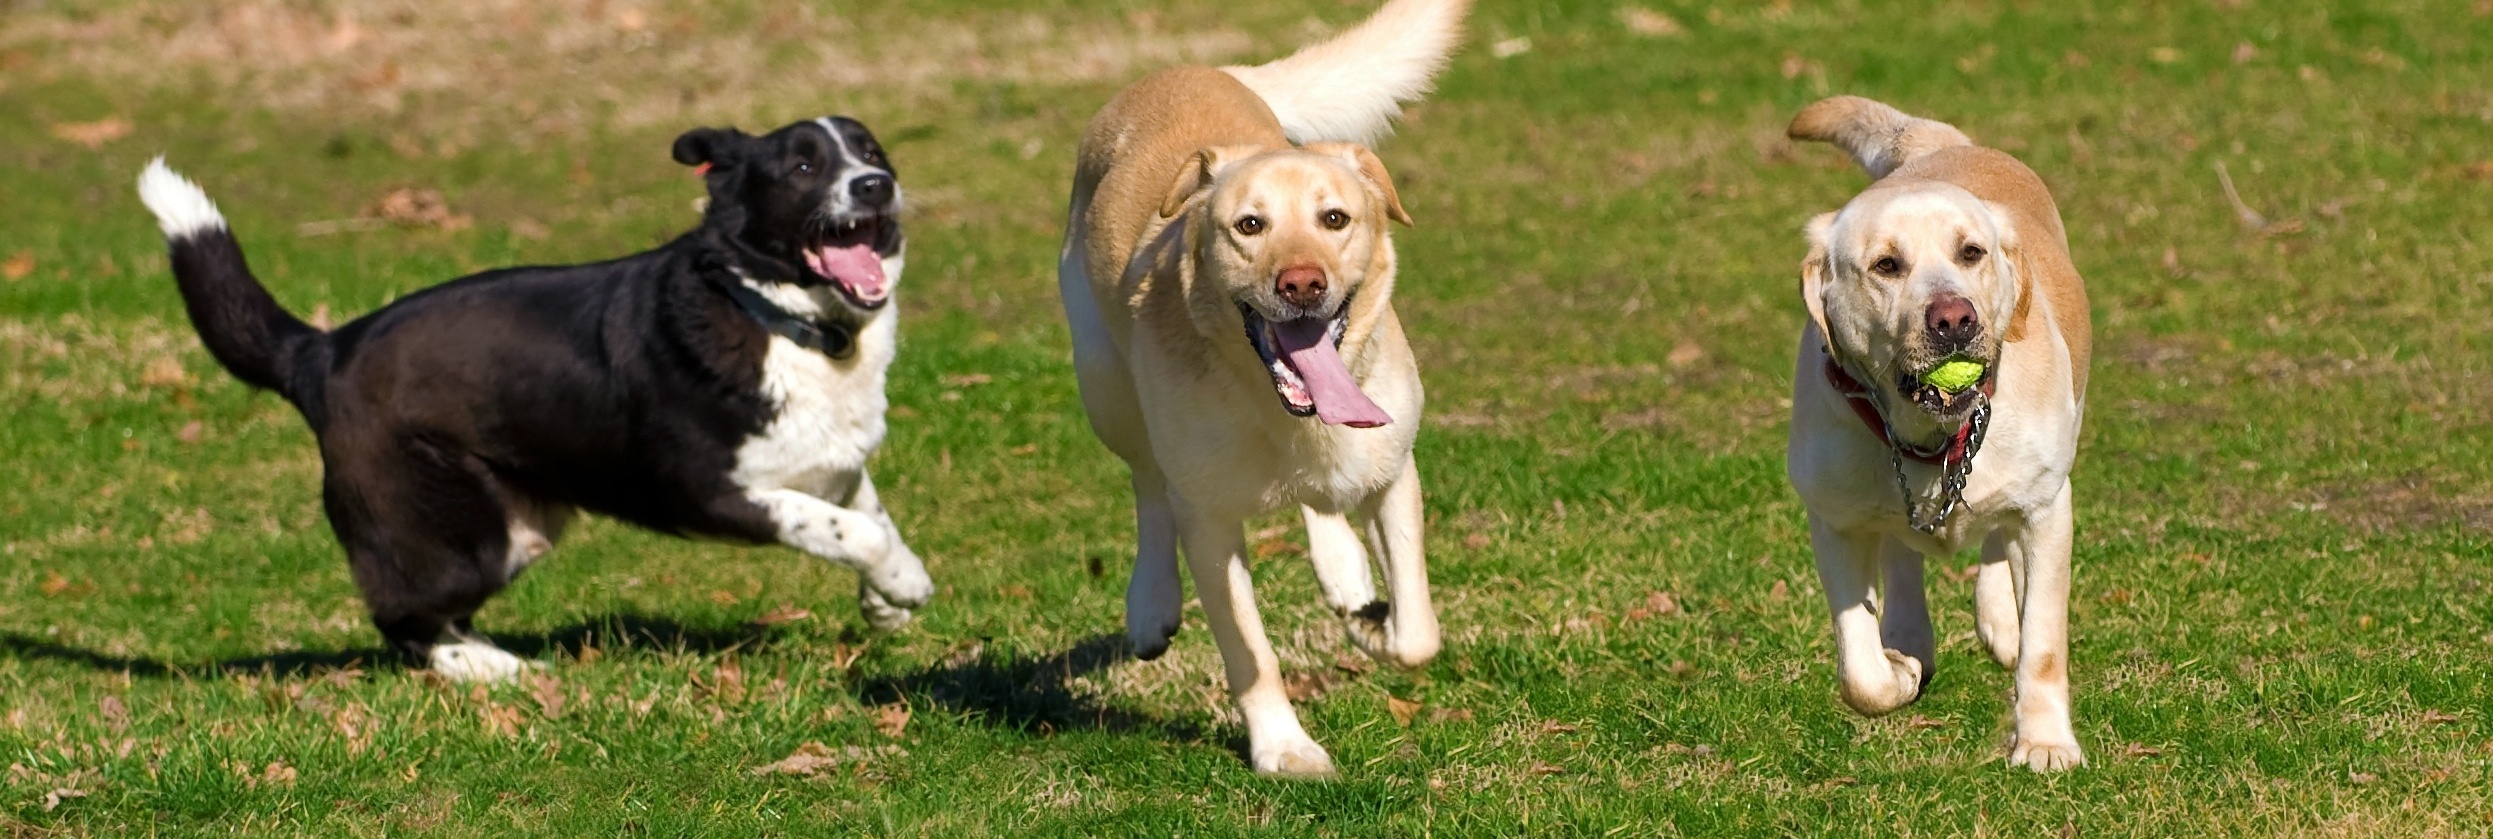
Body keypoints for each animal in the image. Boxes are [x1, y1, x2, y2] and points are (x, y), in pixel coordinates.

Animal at [138, 117, 937, 677]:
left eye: (871, 151)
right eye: (804, 166)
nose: (874, 184)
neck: (782, 318)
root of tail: (323, 352)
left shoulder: (832, 462)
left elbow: (866, 513)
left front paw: (884, 600)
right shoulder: (712, 492)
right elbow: (852, 529)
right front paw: (903, 582)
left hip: (518, 528)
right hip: (463, 540)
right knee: (401, 617)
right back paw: (489, 668)